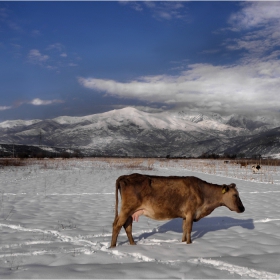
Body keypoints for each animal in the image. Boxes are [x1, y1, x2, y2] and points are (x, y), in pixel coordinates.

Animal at [110, 174, 245, 248]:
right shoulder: (190, 212)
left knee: (127, 226)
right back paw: (112, 246)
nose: (243, 208)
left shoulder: (185, 215)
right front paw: (189, 243)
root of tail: (126, 176)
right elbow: (189, 228)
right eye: (235, 195)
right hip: (127, 208)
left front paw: (183, 242)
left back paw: (133, 245)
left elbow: (184, 228)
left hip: (131, 211)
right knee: (117, 225)